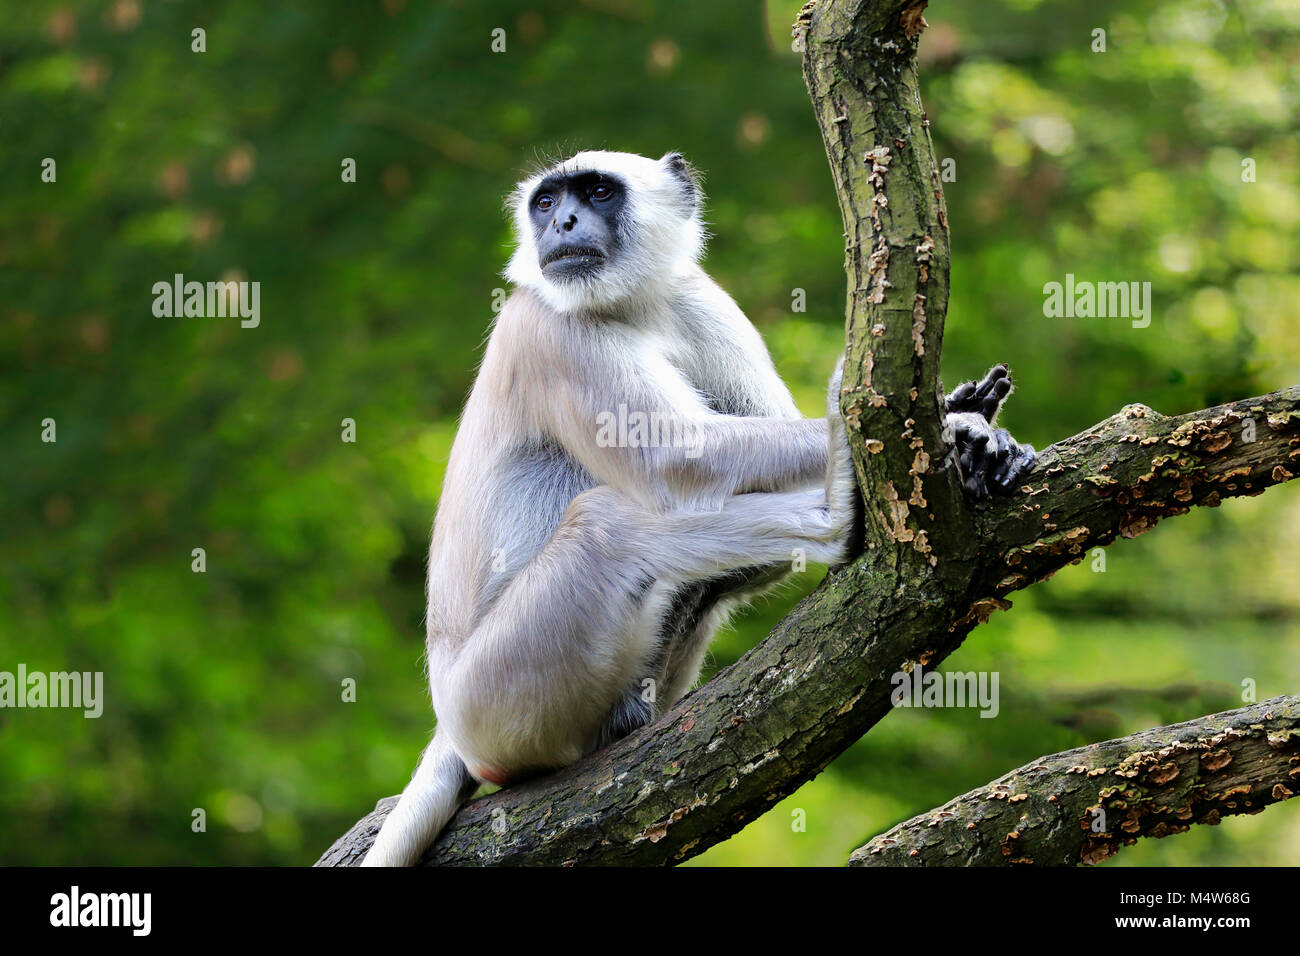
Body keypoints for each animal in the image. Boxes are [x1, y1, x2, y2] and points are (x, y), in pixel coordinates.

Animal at [364, 149, 1034, 868]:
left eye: (596, 193)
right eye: (546, 204)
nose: (563, 223)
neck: (632, 305)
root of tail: (449, 726)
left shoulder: (697, 298)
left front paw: (979, 436)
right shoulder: (548, 323)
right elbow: (681, 460)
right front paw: (957, 428)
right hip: (493, 699)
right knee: (610, 524)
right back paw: (835, 519)